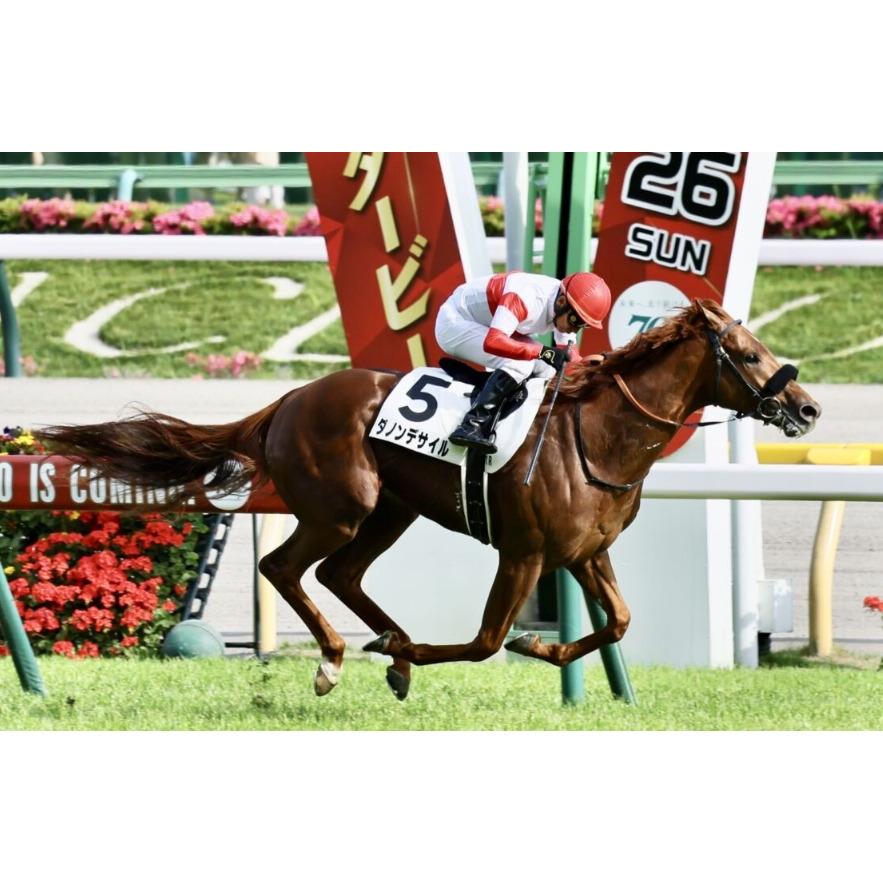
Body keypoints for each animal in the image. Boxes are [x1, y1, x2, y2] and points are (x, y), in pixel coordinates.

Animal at [35, 299, 821, 700]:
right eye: (749, 354)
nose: (808, 408)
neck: (599, 436)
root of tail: (288, 399)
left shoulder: (585, 552)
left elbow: (620, 622)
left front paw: (542, 643)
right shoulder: (524, 551)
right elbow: (484, 642)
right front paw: (484, 644)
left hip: (393, 510)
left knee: (339, 574)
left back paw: (391, 647)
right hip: (342, 507)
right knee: (286, 568)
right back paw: (339, 658)